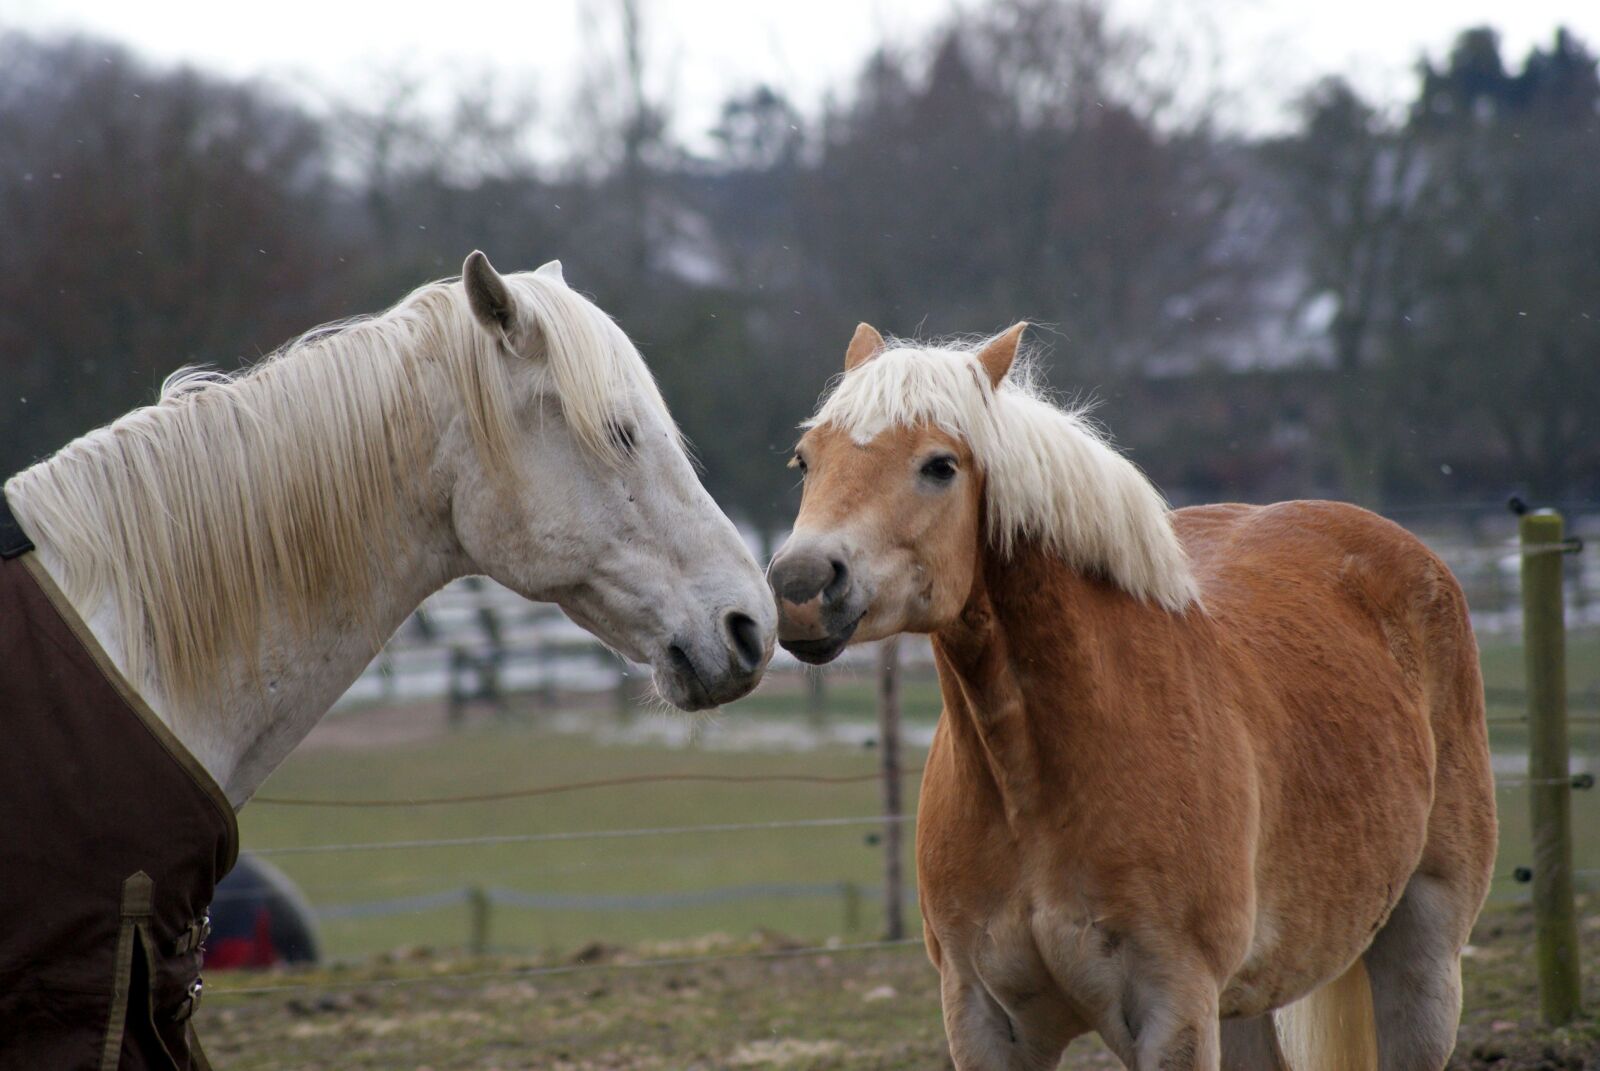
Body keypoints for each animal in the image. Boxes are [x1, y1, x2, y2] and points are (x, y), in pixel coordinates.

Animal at [767, 323, 1496, 1071]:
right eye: (805, 460)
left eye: (940, 465)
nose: (799, 584)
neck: (1039, 783)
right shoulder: (981, 1019)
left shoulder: (1174, 1012)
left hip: (1421, 964)